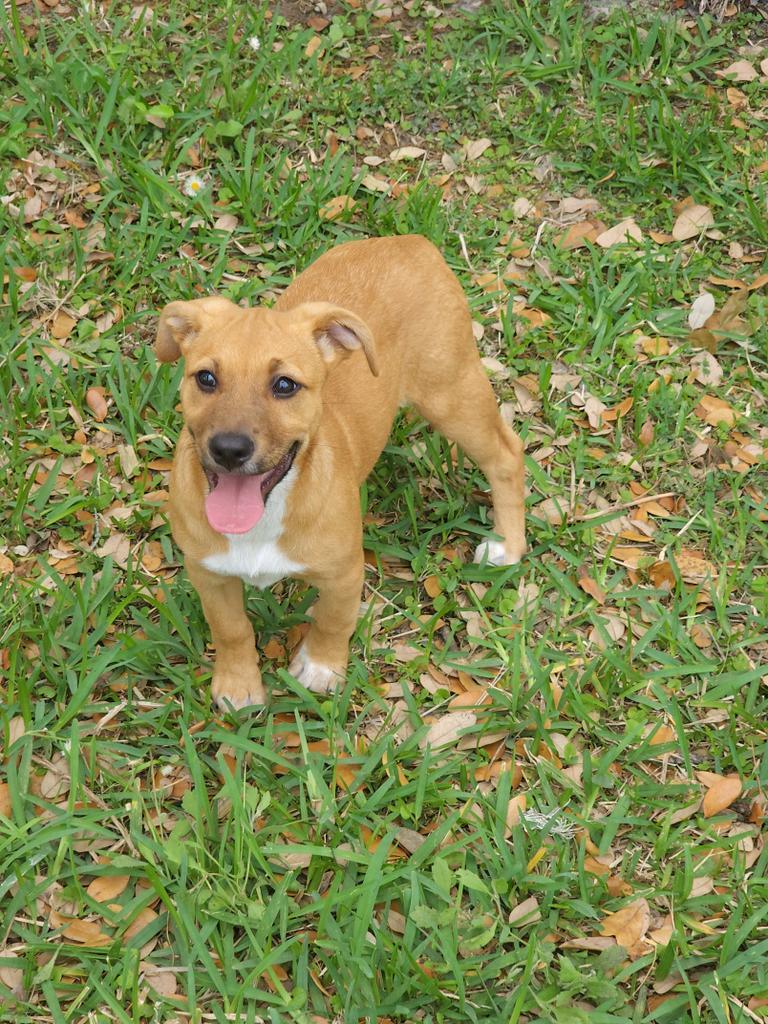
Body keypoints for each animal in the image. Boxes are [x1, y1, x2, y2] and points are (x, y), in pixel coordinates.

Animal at [156, 234, 528, 708]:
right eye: (205, 378)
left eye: (284, 385)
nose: (229, 449)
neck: (267, 514)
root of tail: (409, 241)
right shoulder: (209, 573)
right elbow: (231, 629)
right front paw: (239, 684)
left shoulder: (345, 573)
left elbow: (334, 622)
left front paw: (321, 667)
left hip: (451, 391)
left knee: (506, 455)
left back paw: (507, 545)